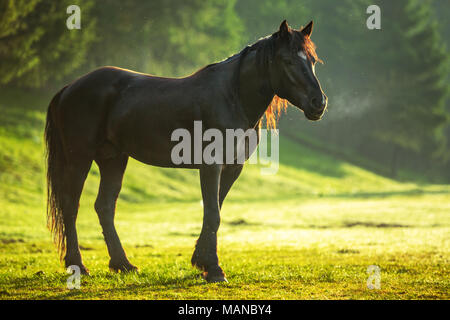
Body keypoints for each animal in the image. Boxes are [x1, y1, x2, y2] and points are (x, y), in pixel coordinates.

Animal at [45, 20, 326, 282]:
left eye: (312, 60)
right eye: (287, 60)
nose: (319, 103)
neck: (232, 97)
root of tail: (69, 88)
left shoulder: (232, 168)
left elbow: (214, 211)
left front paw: (201, 261)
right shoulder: (211, 165)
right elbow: (212, 214)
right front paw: (214, 269)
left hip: (113, 159)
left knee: (104, 206)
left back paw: (123, 264)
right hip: (79, 159)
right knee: (70, 205)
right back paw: (78, 265)